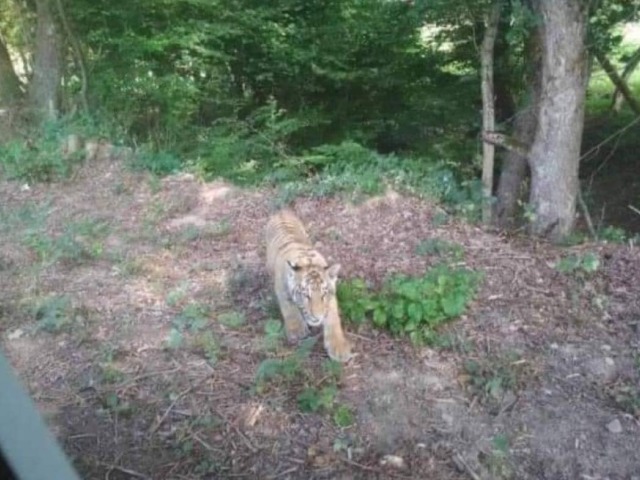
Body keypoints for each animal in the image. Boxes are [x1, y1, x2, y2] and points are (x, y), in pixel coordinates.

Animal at [265, 209, 353, 363]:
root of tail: (281, 211)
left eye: (323, 294)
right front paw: (297, 330)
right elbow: (289, 307)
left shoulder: (331, 299)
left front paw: (339, 347)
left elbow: (333, 319)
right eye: (306, 295)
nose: (317, 318)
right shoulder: (281, 289)